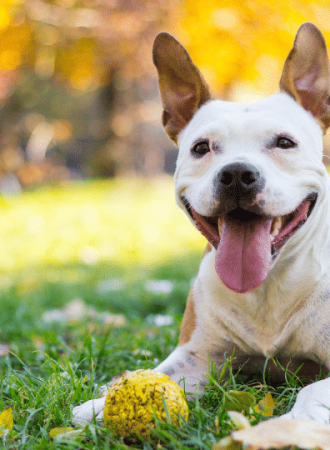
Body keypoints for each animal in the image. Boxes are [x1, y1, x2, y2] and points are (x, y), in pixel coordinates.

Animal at [73, 22, 330, 426]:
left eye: (285, 143)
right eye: (201, 148)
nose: (237, 174)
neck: (268, 285)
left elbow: (315, 388)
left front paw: (299, 421)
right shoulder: (196, 355)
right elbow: (160, 374)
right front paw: (102, 405)